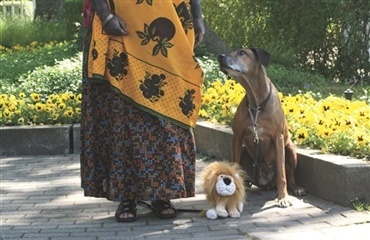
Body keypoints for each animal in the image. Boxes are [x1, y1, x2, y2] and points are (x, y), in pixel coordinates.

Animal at [217, 47, 306, 207]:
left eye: (242, 52)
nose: (220, 56)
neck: (257, 103)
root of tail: (266, 183)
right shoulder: (237, 136)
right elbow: (234, 165)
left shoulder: (278, 138)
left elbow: (282, 174)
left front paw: (283, 197)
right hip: (245, 151)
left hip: (290, 149)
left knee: (290, 176)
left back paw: (296, 188)